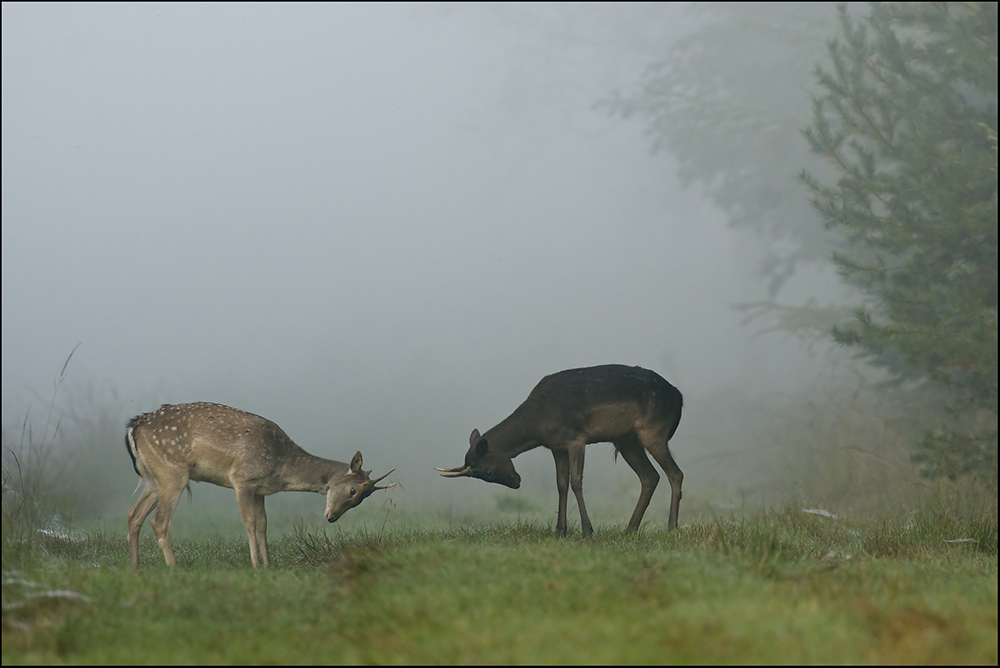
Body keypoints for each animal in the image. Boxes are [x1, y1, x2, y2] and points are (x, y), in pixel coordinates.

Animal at [129, 402, 398, 568]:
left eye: (362, 498)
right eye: (353, 490)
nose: (331, 517)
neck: (280, 466)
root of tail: (133, 427)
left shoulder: (260, 490)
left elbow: (263, 524)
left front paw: (268, 563)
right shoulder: (242, 479)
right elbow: (249, 522)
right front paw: (256, 564)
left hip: (153, 478)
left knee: (134, 514)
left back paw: (135, 567)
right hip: (172, 471)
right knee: (159, 521)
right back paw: (173, 567)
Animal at [434, 366, 684, 536]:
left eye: (487, 472)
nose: (516, 481)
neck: (538, 425)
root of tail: (679, 398)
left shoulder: (576, 439)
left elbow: (576, 482)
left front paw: (587, 531)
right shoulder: (557, 447)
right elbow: (561, 484)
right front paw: (559, 531)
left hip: (654, 431)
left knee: (675, 473)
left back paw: (672, 527)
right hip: (627, 441)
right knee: (650, 477)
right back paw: (630, 529)